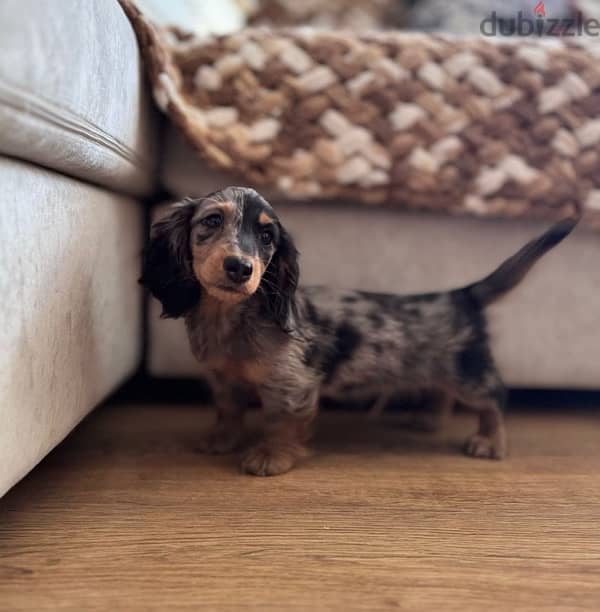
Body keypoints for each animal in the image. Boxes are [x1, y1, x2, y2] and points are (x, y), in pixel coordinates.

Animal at [141, 189, 576, 476]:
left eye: (267, 237)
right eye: (212, 221)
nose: (239, 267)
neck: (230, 319)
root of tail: (461, 294)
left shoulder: (291, 384)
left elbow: (280, 421)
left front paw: (271, 456)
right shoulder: (224, 380)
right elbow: (228, 412)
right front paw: (221, 440)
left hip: (469, 374)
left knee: (494, 399)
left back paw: (491, 442)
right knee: (441, 392)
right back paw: (427, 419)